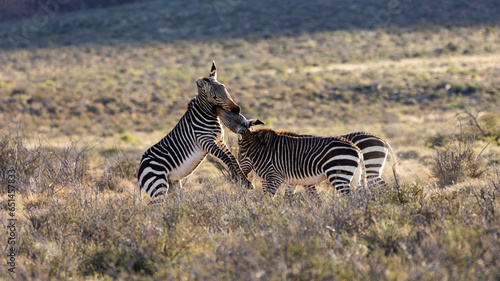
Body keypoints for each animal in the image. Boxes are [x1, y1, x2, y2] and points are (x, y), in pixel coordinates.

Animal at [138, 61, 250, 201]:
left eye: (225, 88)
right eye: (214, 96)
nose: (237, 110)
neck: (205, 115)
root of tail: (139, 171)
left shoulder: (220, 140)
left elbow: (232, 158)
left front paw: (246, 181)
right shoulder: (205, 142)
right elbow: (226, 158)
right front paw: (236, 178)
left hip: (172, 184)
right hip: (158, 186)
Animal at [216, 108, 368, 196]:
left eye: (242, 153)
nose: (237, 177)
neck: (261, 150)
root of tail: (357, 150)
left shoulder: (274, 178)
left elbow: (268, 201)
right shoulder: (284, 181)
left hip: (338, 175)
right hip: (355, 177)